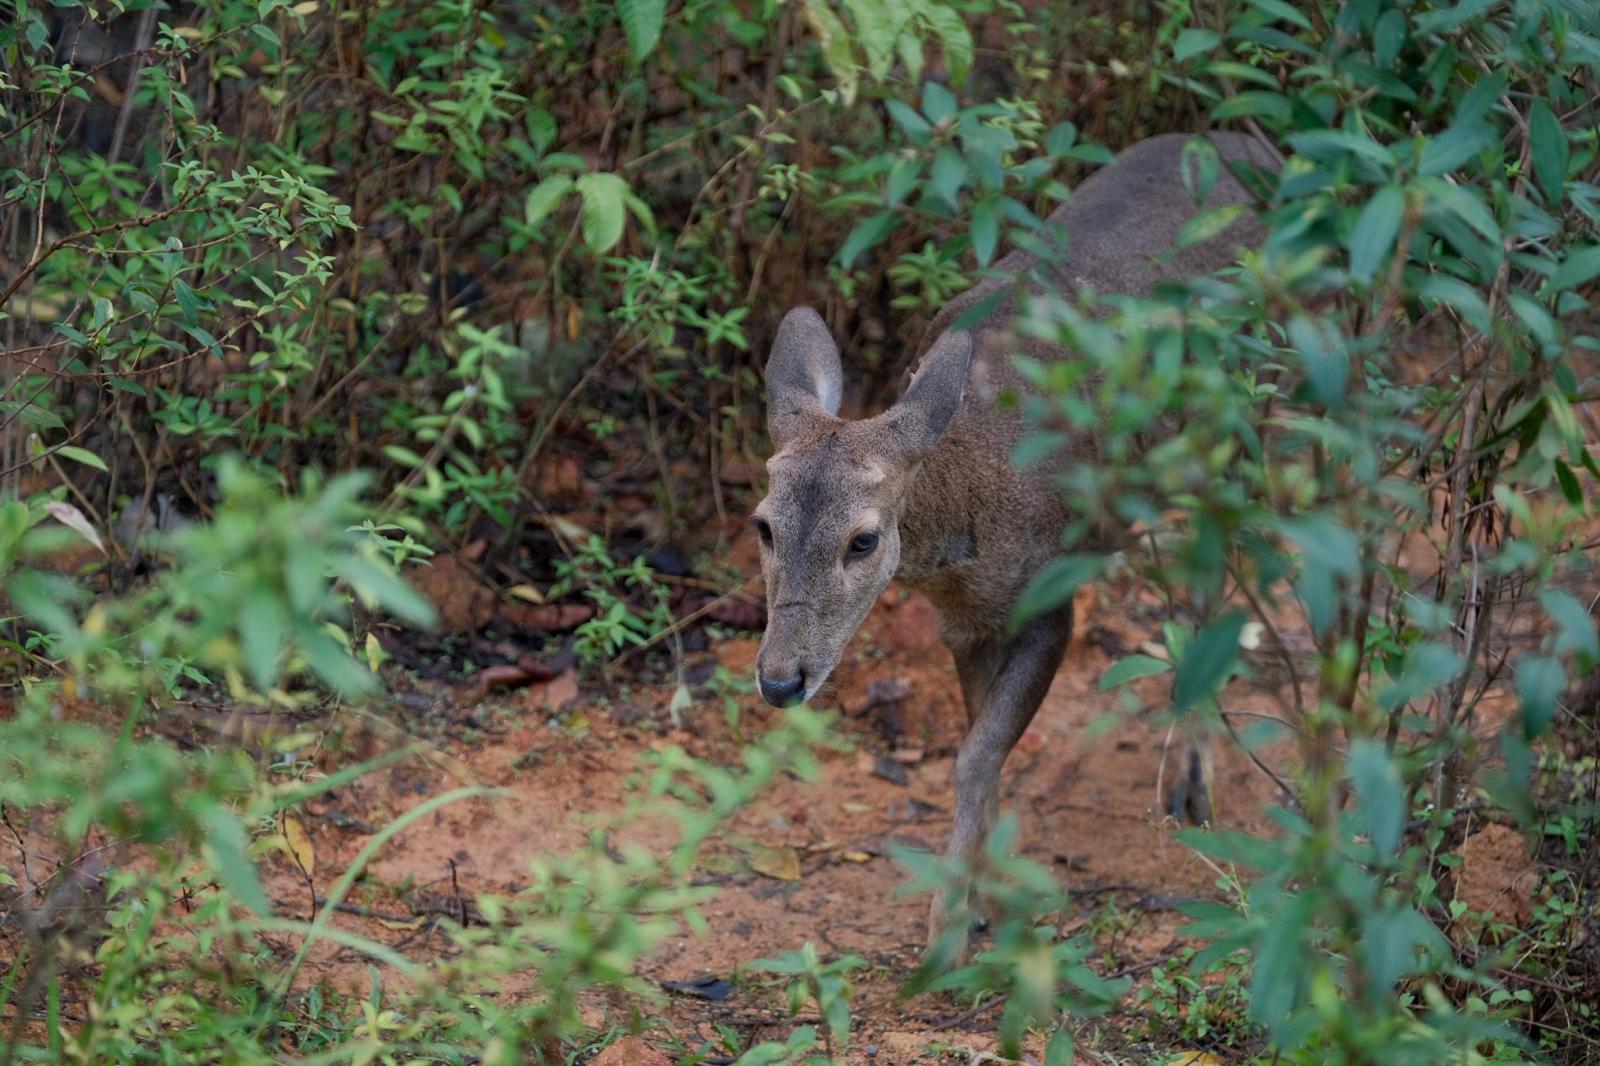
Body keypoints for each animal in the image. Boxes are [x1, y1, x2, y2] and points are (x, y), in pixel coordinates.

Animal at [749, 131, 1279, 963]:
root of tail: (1259, 145)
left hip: (1249, 424)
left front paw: (947, 934)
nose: (779, 680)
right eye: (763, 524)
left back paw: (1195, 781)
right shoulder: (969, 623)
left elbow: (974, 756)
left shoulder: (1051, 600)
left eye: (863, 539)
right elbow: (981, 746)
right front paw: (981, 898)